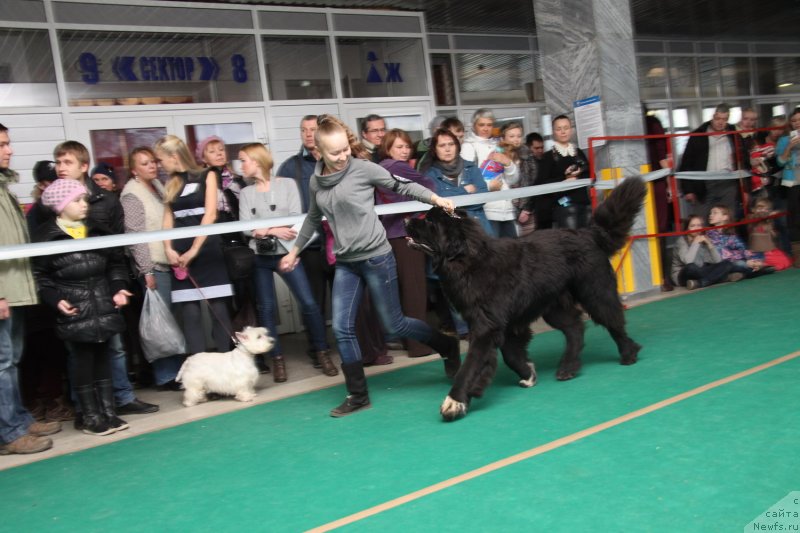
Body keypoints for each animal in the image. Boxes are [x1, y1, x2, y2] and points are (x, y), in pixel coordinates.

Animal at [410, 176, 648, 420]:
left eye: (429, 223)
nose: (408, 220)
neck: (468, 261)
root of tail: (587, 233)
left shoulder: (486, 326)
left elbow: (472, 364)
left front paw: (454, 401)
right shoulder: (503, 324)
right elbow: (509, 354)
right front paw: (528, 373)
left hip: (595, 292)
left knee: (613, 321)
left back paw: (628, 353)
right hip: (554, 306)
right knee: (575, 328)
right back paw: (568, 367)